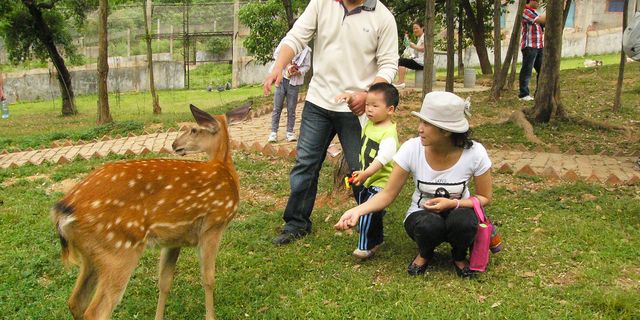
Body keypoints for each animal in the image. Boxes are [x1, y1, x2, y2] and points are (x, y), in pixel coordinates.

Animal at [52, 104, 240, 318]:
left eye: (193, 129)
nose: (174, 144)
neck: (226, 172)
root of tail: (64, 210)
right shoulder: (213, 225)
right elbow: (208, 279)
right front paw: (210, 316)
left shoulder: (174, 239)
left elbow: (165, 281)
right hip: (118, 250)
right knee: (96, 311)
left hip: (91, 255)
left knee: (75, 301)